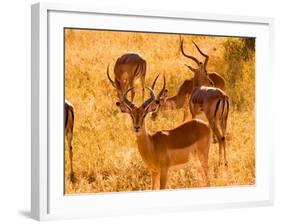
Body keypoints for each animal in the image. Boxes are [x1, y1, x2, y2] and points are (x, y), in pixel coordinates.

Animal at [180, 39, 229, 167]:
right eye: (205, 72)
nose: (211, 82)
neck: (196, 89)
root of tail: (222, 96)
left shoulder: (194, 116)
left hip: (213, 120)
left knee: (220, 138)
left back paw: (219, 162)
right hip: (223, 119)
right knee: (224, 137)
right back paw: (226, 162)